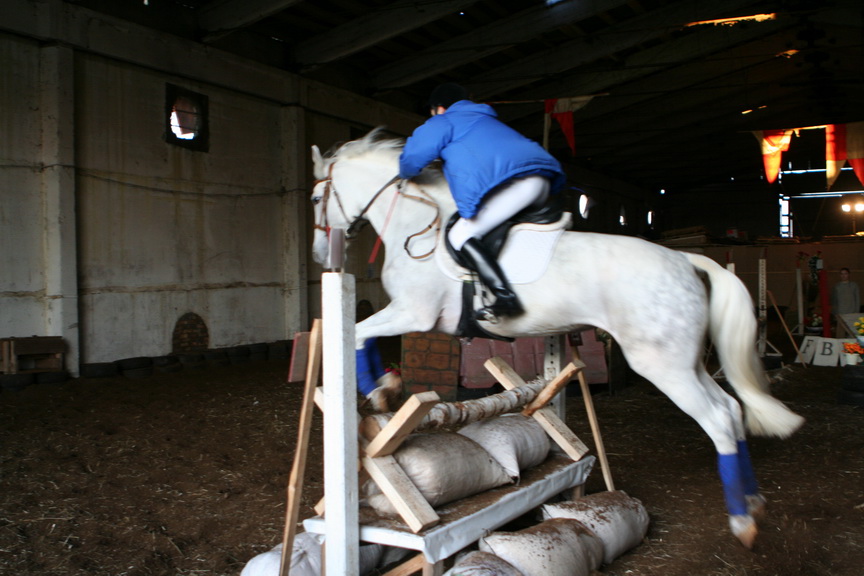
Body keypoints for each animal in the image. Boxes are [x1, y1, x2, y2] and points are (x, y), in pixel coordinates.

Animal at [308, 129, 804, 548]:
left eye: (315, 196)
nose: (318, 255)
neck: (417, 224)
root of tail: (686, 259)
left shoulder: (413, 312)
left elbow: (357, 333)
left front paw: (379, 391)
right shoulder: (411, 314)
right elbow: (361, 335)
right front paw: (386, 390)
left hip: (661, 364)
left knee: (718, 420)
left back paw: (743, 522)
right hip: (687, 362)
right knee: (732, 410)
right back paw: (755, 503)